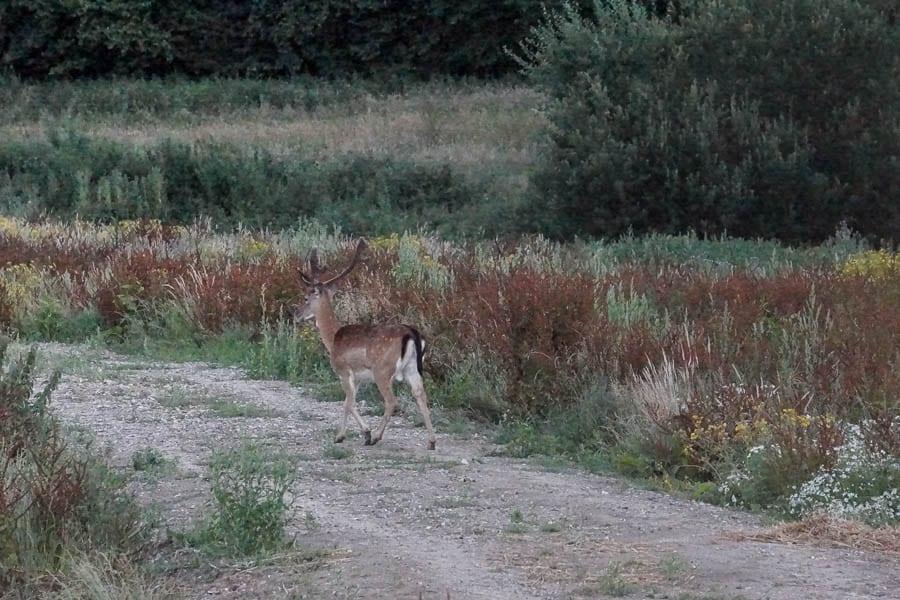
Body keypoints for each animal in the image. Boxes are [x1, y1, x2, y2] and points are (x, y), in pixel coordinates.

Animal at [294, 239, 438, 450]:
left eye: (306, 297)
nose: (295, 314)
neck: (333, 339)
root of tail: (412, 334)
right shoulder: (359, 377)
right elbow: (348, 402)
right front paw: (355, 433)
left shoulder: (343, 370)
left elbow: (348, 403)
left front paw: (351, 435)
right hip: (413, 368)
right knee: (421, 395)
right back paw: (431, 441)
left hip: (383, 369)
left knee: (391, 401)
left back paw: (377, 436)